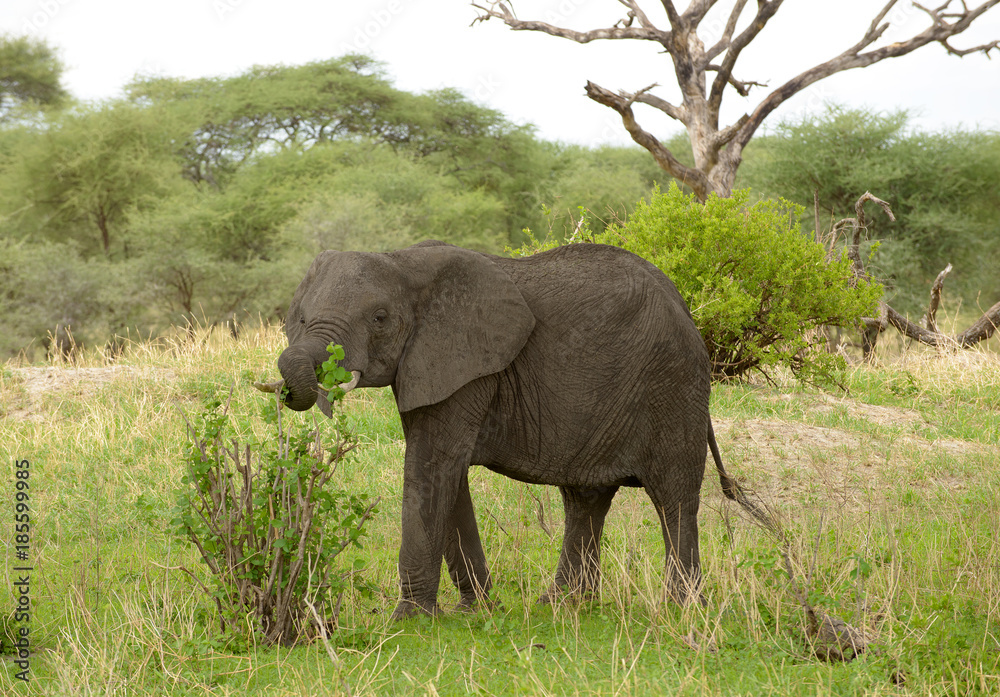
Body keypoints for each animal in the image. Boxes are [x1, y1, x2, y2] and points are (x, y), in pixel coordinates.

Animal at [270, 241, 760, 620]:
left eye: (379, 318)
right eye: (300, 318)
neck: (402, 260)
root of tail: (683, 304)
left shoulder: (466, 362)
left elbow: (432, 467)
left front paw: (410, 620)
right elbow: (447, 474)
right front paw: (477, 611)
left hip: (673, 384)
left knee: (672, 497)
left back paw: (683, 608)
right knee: (586, 499)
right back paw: (561, 604)